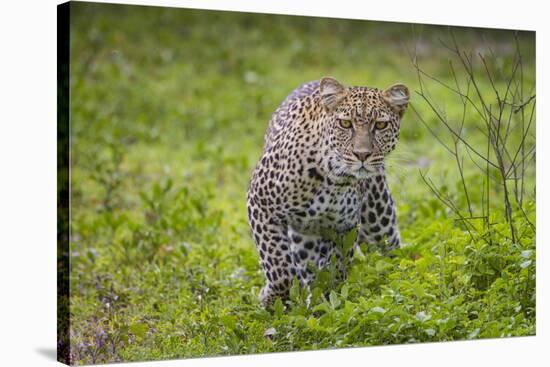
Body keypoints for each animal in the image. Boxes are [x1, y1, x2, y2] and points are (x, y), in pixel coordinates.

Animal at [247, 76, 410, 306]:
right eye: (345, 123)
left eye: (380, 125)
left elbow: (335, 269)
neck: (334, 178)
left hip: (379, 220)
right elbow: (279, 268)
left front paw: (324, 302)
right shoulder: (261, 204)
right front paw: (271, 299)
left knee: (390, 251)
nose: (362, 154)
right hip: (304, 236)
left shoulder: (345, 227)